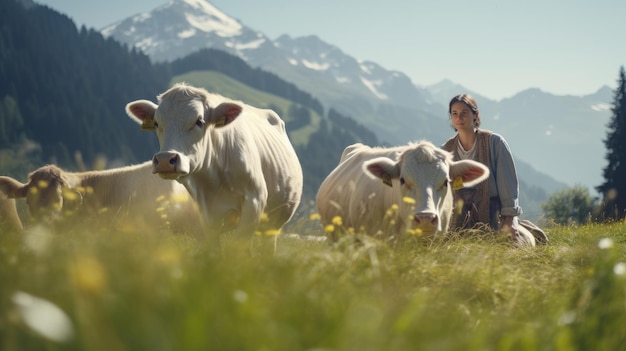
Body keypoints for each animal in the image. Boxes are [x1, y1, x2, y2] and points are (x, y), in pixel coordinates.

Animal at [124, 83, 302, 253]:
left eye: (199, 121)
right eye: (156, 123)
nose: (165, 159)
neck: (212, 180)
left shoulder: (255, 200)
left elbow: (239, 249)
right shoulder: (206, 214)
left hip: (274, 223)